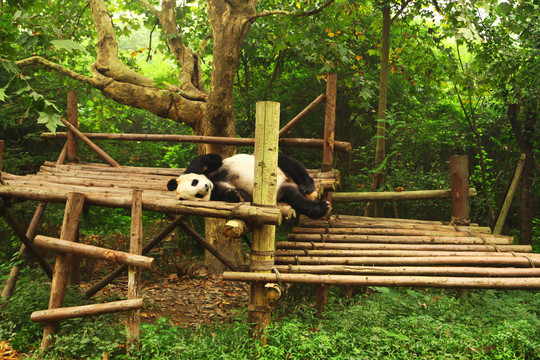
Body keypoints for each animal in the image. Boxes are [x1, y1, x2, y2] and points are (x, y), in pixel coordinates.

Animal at [167, 153, 332, 218]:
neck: (213, 179)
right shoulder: (216, 192)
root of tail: (288, 181)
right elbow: (241, 195)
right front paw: (233, 194)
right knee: (296, 198)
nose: (206, 186)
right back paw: (321, 207)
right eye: (198, 195)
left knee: (291, 163)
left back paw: (308, 187)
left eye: (194, 182)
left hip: (276, 165)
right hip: (283, 190)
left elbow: (209, 159)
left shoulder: (203, 168)